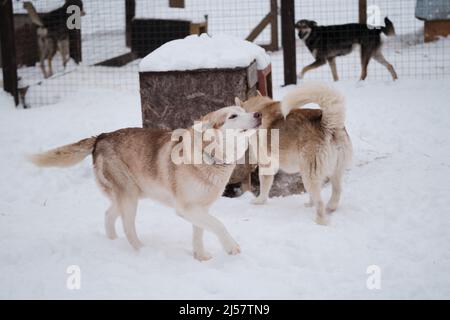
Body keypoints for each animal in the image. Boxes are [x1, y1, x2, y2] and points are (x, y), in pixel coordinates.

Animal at [29, 106, 262, 262]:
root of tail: (101, 136)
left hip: (127, 196)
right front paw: (231, 247)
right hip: (129, 197)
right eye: (233, 116)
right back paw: (142, 251)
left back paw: (112, 242)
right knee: (127, 227)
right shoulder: (186, 209)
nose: (258, 114)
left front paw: (201, 257)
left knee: (108, 215)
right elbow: (219, 225)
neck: (209, 156)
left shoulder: (200, 209)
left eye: (245, 110)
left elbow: (201, 232)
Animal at [236, 84, 352, 226]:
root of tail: (328, 123)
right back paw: (328, 207)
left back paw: (320, 221)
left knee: (320, 202)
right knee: (336, 192)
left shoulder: (266, 166)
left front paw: (259, 201)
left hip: (309, 176)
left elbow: (264, 188)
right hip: (332, 172)